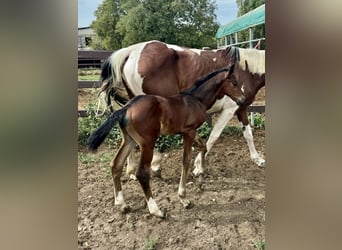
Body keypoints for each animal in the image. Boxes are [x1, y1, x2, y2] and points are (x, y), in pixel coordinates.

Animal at [97, 39, 266, 176]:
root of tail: (130, 51)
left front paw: (258, 159)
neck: (247, 70)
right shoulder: (230, 109)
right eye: (234, 82)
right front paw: (198, 166)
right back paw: (154, 164)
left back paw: (131, 169)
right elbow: (214, 135)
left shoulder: (241, 107)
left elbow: (248, 133)